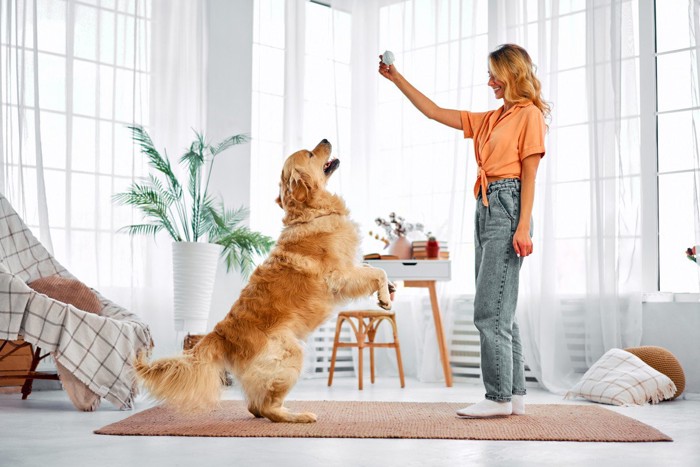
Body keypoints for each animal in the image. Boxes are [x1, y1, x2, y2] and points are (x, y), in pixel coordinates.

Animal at [134, 139, 392, 424]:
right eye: (310, 154)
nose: (325, 140)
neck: (312, 213)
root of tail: (220, 332)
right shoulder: (339, 276)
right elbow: (376, 272)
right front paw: (385, 297)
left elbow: (372, 268)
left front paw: (389, 290)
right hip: (290, 354)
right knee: (266, 408)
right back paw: (299, 416)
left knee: (255, 406)